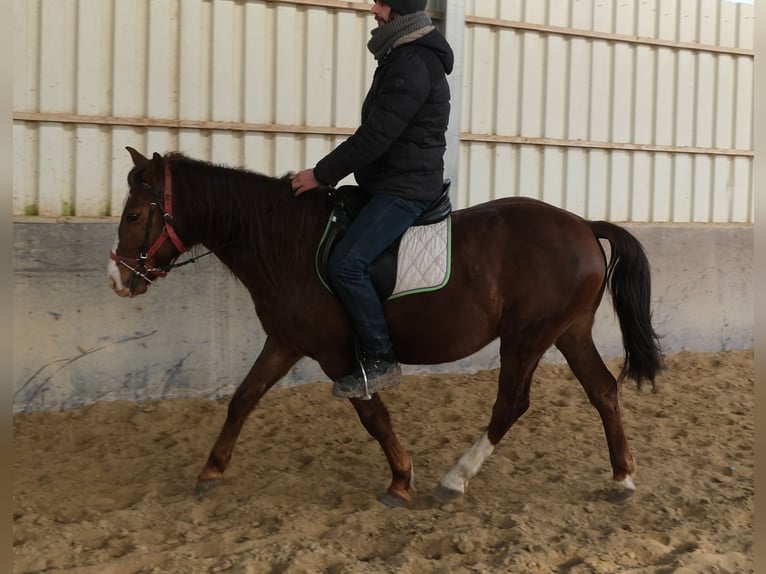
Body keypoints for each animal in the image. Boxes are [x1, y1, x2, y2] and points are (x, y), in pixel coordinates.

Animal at [108, 147, 663, 507]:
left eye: (134, 214)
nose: (118, 279)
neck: (286, 242)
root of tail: (584, 226)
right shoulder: (287, 341)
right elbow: (243, 399)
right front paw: (210, 470)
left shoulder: (336, 354)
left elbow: (373, 415)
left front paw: (401, 479)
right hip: (569, 331)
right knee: (603, 390)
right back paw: (622, 480)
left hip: (527, 336)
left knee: (512, 404)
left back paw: (455, 480)